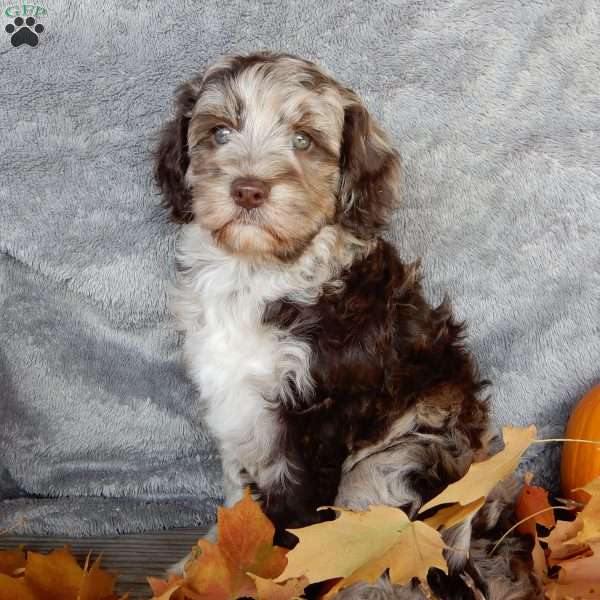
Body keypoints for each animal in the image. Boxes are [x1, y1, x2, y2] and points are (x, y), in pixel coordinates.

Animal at [155, 52, 540, 600]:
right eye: (220, 133)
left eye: (303, 140)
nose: (248, 190)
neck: (258, 275)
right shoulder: (233, 402)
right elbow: (236, 501)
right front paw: (206, 564)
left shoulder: (320, 417)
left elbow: (299, 521)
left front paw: (281, 578)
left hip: (397, 462)